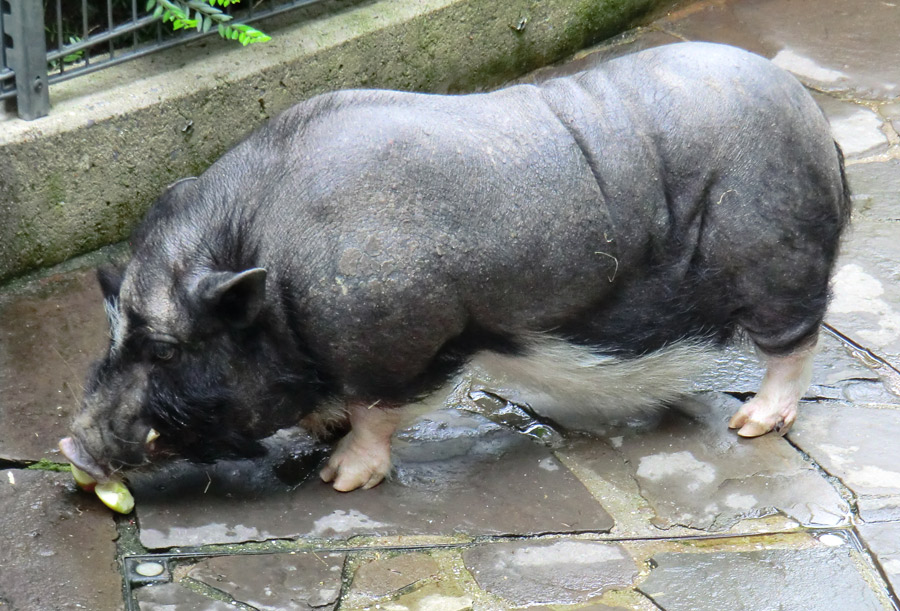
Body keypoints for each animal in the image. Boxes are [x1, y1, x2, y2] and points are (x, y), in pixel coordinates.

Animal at [59, 43, 848, 492]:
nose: (70, 445)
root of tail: (815, 120)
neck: (269, 261)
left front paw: (340, 479)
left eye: (166, 349)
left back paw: (751, 424)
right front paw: (322, 433)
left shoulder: (405, 339)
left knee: (796, 342)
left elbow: (380, 414)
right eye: (112, 336)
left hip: (779, 260)